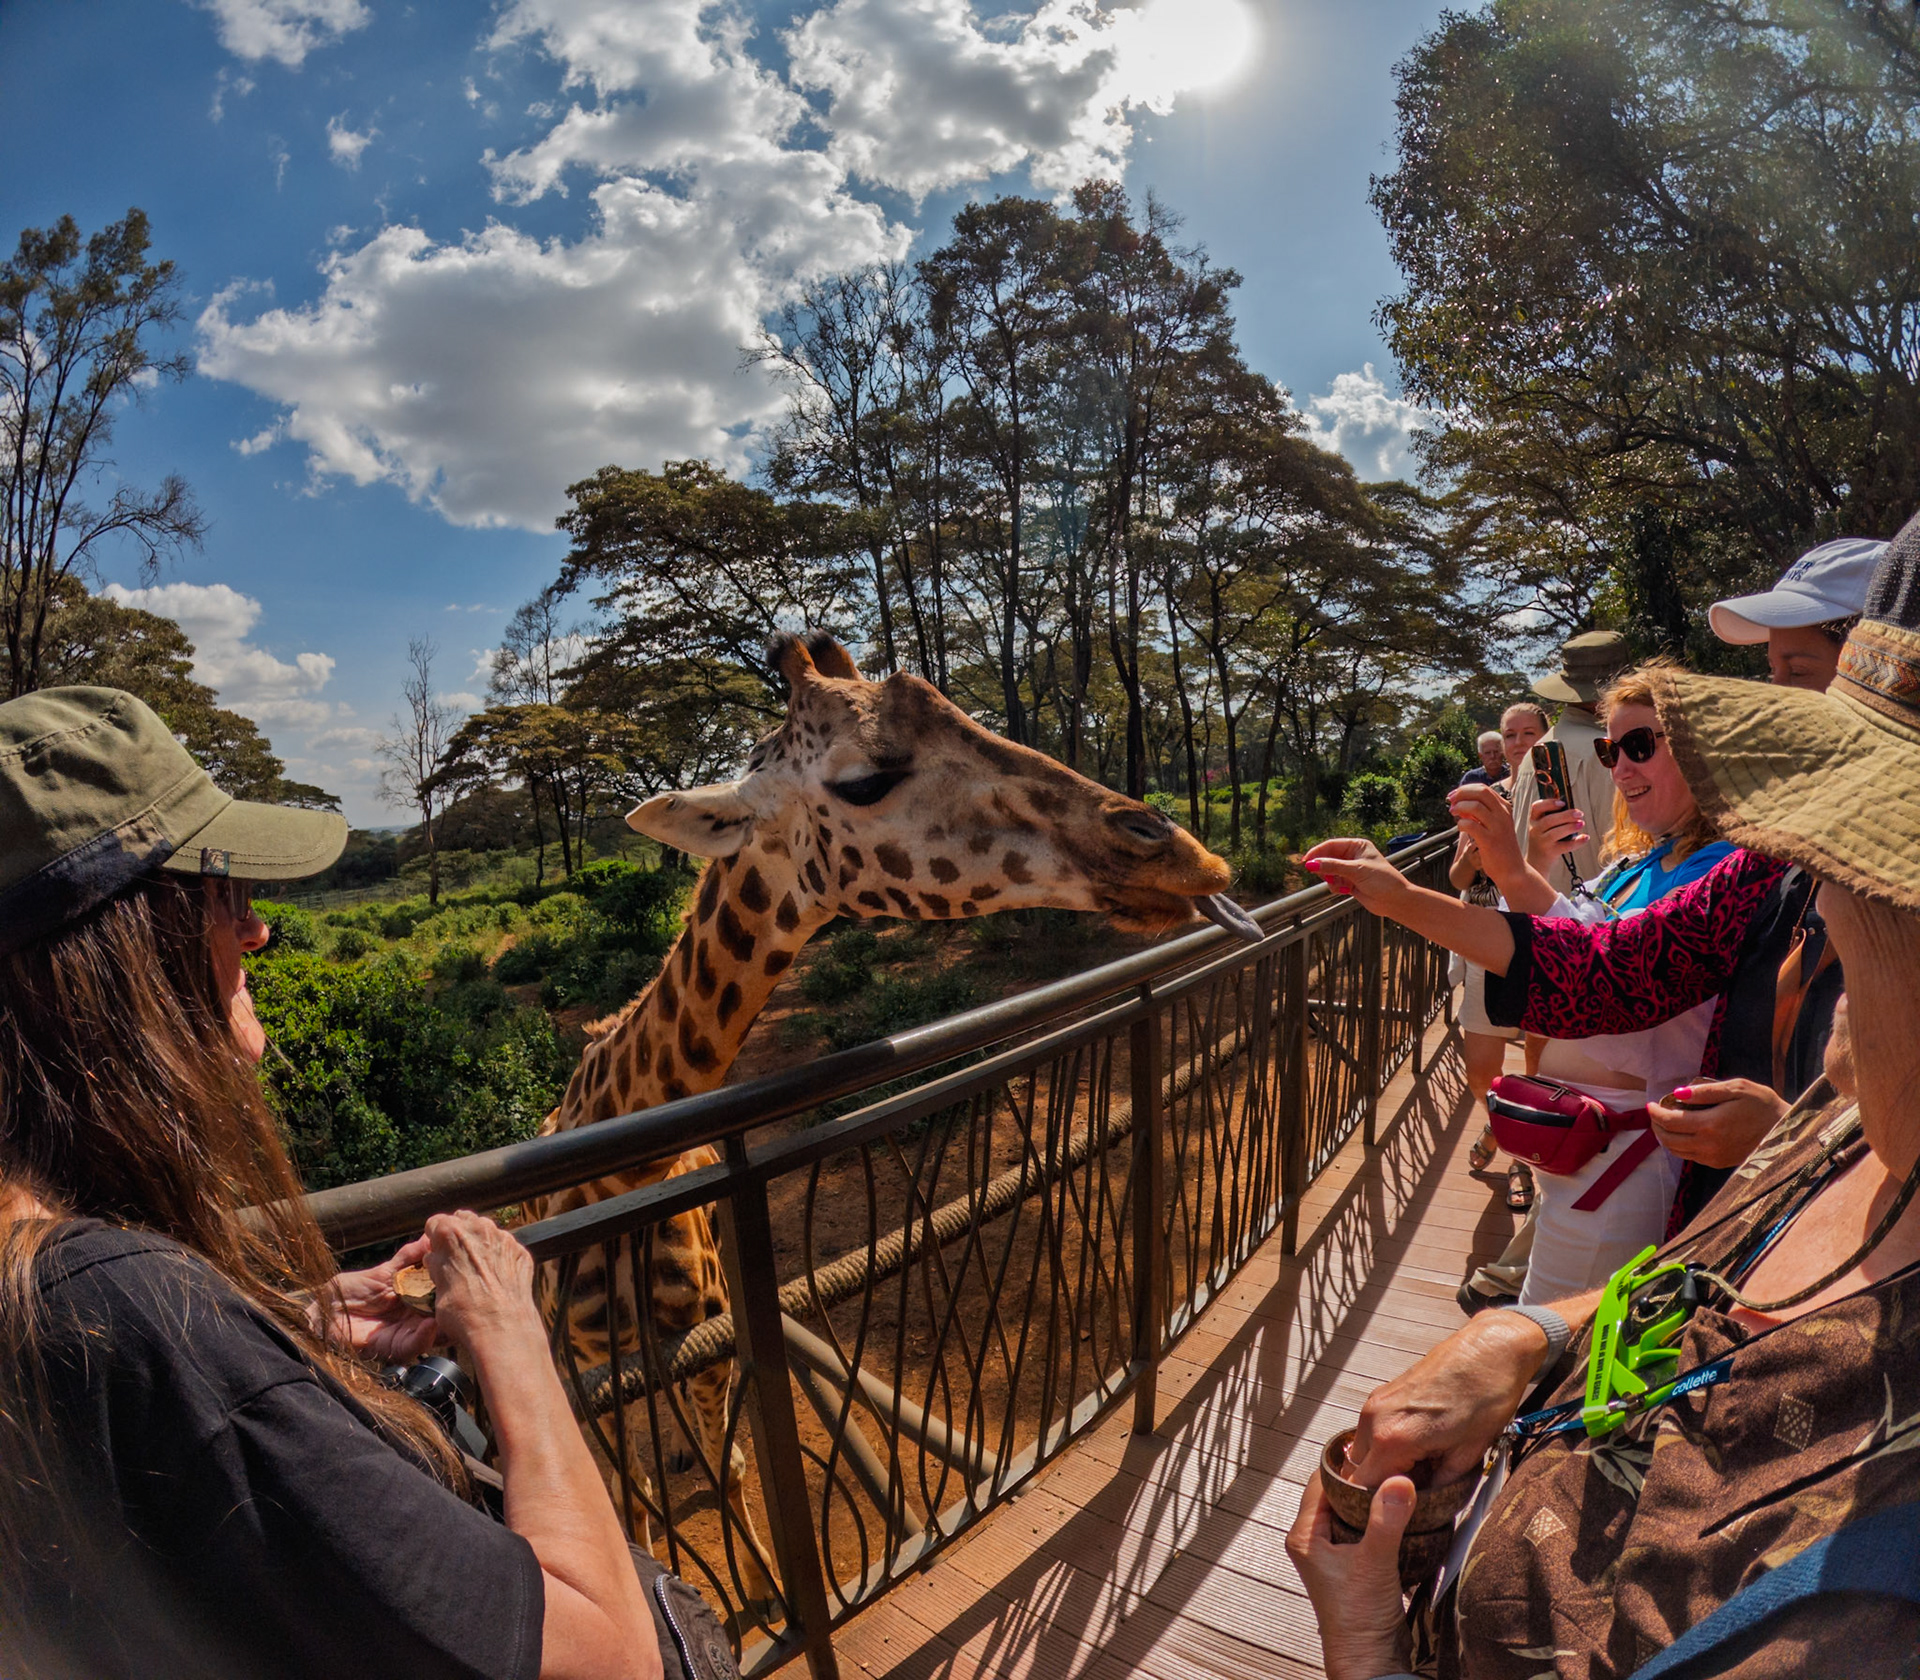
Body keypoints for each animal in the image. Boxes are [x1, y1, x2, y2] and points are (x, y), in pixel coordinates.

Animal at [527, 630, 1257, 1602]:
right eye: (864, 781)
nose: (1185, 858)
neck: (616, 1171)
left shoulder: (706, 1344)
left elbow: (727, 1468)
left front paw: (765, 1594)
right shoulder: (579, 1380)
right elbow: (633, 1503)